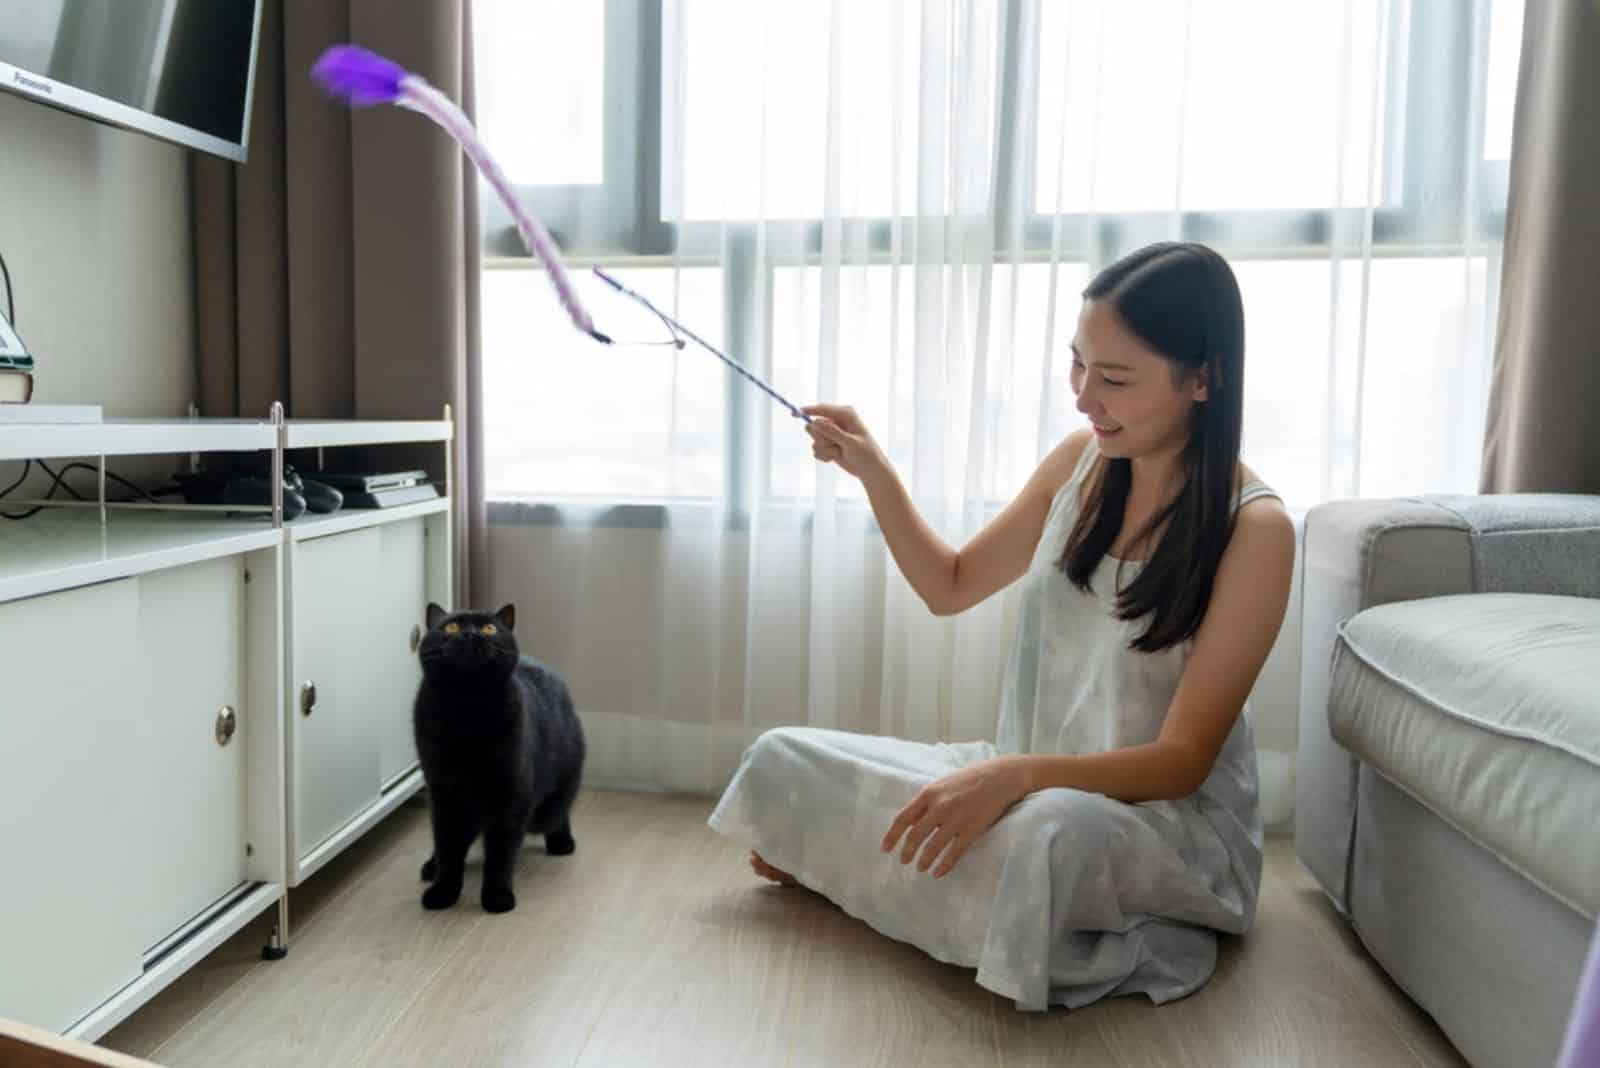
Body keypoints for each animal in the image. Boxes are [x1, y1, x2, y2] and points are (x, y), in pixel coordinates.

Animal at [412, 604, 588, 914]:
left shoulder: (510, 797)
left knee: (559, 811)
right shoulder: (445, 795)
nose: (470, 633)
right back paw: (431, 867)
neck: (466, 709)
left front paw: (497, 896)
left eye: (489, 628)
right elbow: (448, 847)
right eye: (451, 627)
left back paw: (561, 842)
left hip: (551, 799)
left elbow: (500, 855)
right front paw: (443, 892)